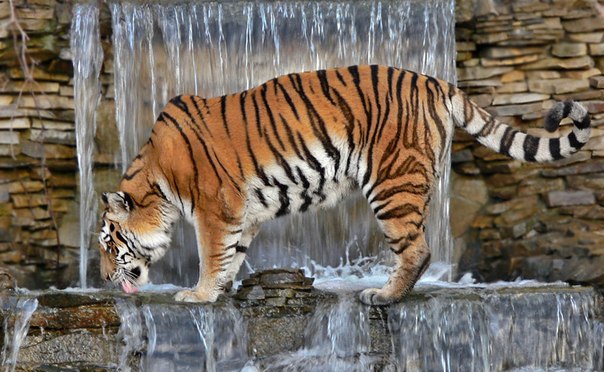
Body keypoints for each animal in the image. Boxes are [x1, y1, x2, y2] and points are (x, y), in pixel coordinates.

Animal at [98, 64, 588, 306]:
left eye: (108, 242)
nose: (102, 278)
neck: (157, 182)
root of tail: (435, 81)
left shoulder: (215, 208)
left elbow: (211, 254)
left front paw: (197, 295)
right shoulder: (245, 212)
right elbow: (233, 255)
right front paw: (220, 291)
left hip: (392, 183)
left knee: (417, 249)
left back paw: (383, 297)